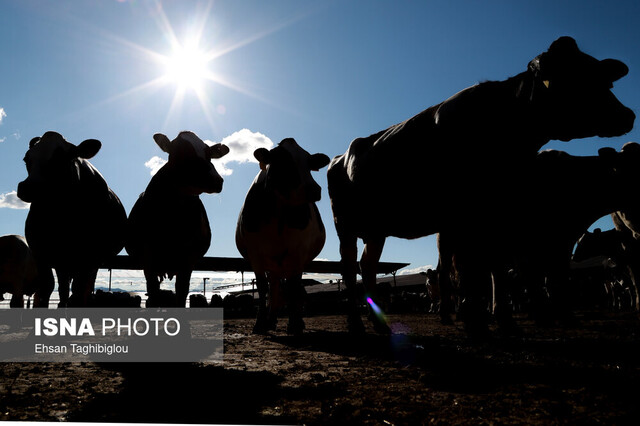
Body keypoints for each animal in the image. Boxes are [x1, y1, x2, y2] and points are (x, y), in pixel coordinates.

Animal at [17, 131, 127, 306]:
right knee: (63, 288)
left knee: (84, 288)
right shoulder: (41, 253)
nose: (28, 187)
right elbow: (47, 287)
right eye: (27, 158)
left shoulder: (89, 258)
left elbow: (78, 291)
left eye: (61, 157)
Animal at [125, 131, 230, 308]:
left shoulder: (188, 260)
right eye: (180, 152)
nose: (216, 179)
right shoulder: (148, 258)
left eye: (209, 154)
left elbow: (181, 292)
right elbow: (153, 291)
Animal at [235, 138, 330, 334]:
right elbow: (262, 287)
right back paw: (270, 320)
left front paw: (294, 323)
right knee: (275, 287)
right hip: (273, 263)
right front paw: (260, 323)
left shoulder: (298, 251)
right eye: (283, 161)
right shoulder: (255, 254)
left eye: (309, 164)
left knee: (292, 287)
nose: (314, 189)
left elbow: (293, 287)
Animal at [438, 141, 640, 334]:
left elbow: (545, 278)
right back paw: (456, 315)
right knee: (451, 275)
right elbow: (551, 278)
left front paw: (548, 315)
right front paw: (562, 316)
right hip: (451, 244)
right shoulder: (546, 243)